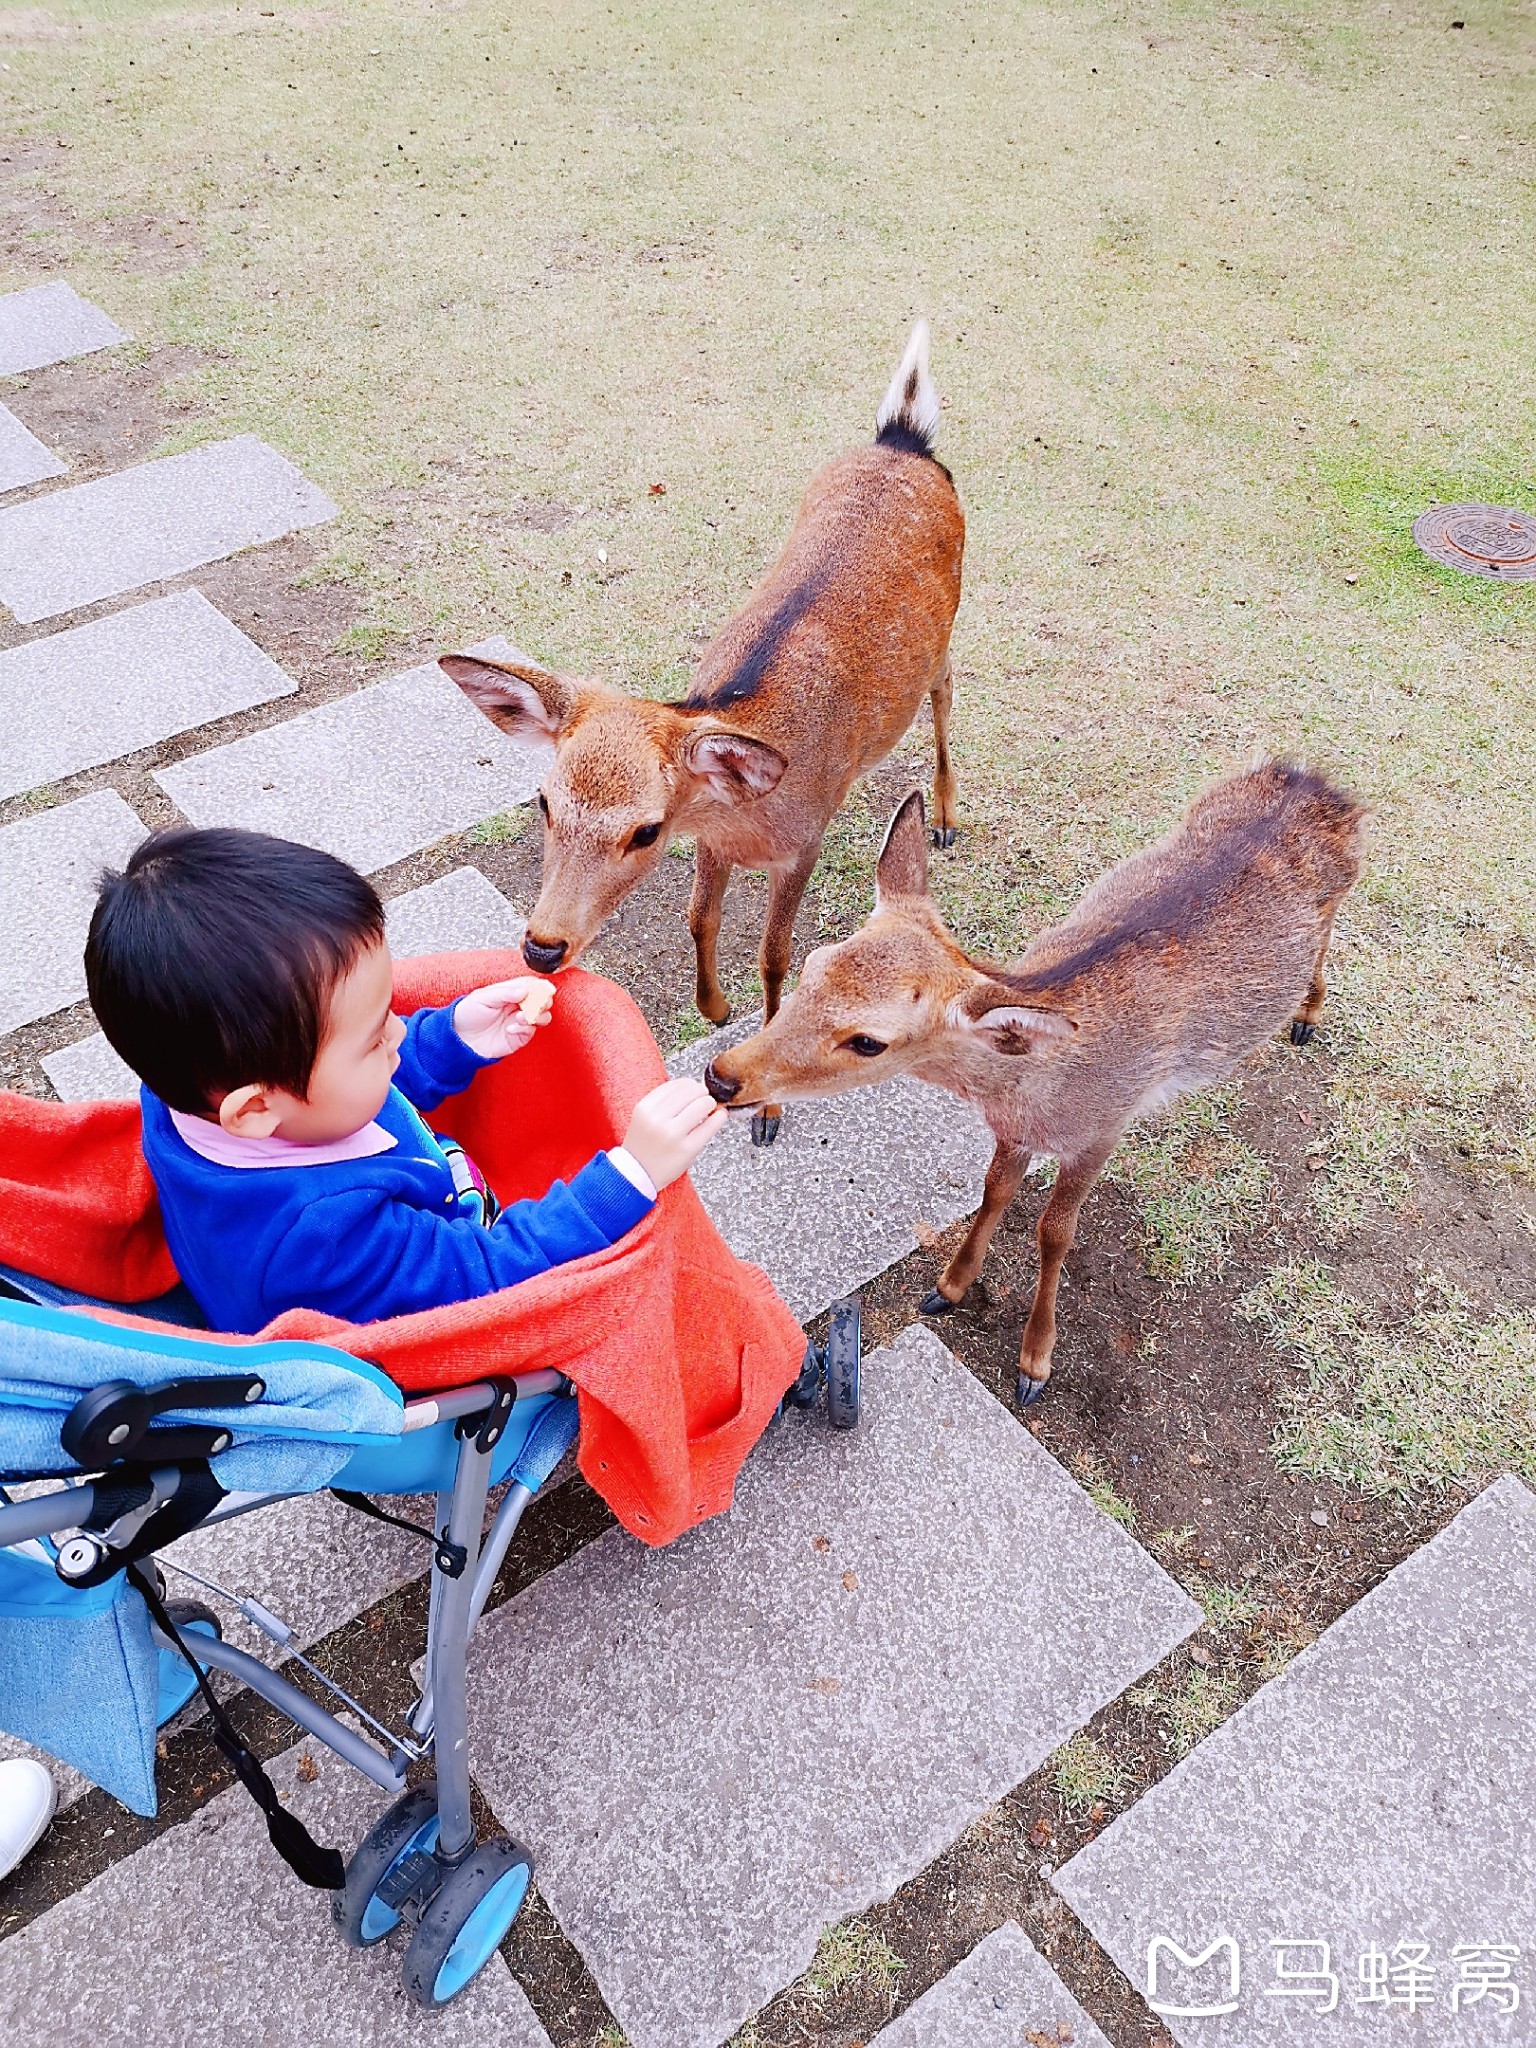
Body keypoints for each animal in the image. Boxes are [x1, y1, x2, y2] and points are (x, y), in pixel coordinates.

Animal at [438, 327, 962, 1146]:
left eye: (646, 831)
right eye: (543, 802)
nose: (543, 947)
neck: (743, 814)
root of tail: (906, 438)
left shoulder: (803, 840)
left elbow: (776, 958)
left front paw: (768, 1112)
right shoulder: (713, 845)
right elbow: (697, 917)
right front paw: (712, 1008)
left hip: (948, 632)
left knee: (945, 695)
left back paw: (942, 819)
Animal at [704, 761, 1368, 1400]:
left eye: (868, 1041)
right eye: (815, 964)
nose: (721, 1077)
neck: (1033, 1093)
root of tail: (1320, 785)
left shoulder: (1103, 1129)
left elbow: (1055, 1232)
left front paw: (1034, 1364)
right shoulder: (1013, 1132)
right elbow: (994, 1190)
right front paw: (948, 1288)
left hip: (1338, 899)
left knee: (1326, 944)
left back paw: (1307, 1017)